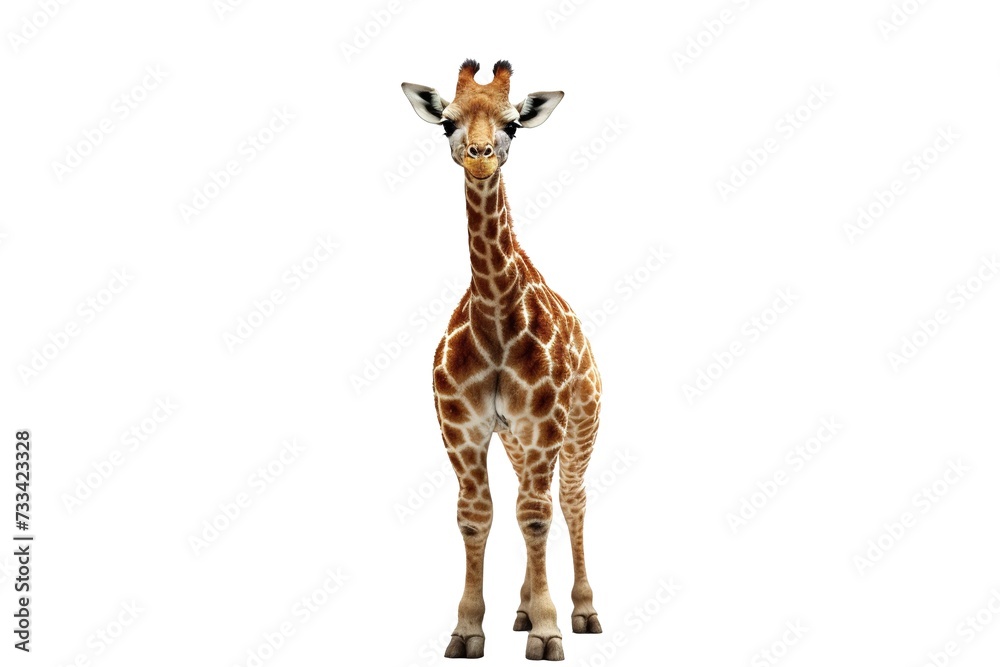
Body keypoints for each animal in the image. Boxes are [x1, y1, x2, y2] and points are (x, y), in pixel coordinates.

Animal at [402, 59, 603, 662]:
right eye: (447, 121)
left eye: (513, 123)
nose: (480, 155)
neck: (494, 313)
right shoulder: (463, 428)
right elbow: (477, 517)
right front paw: (469, 631)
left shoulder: (544, 423)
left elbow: (537, 517)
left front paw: (549, 631)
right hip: (515, 441)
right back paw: (521, 608)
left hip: (580, 426)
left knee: (570, 500)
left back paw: (583, 611)